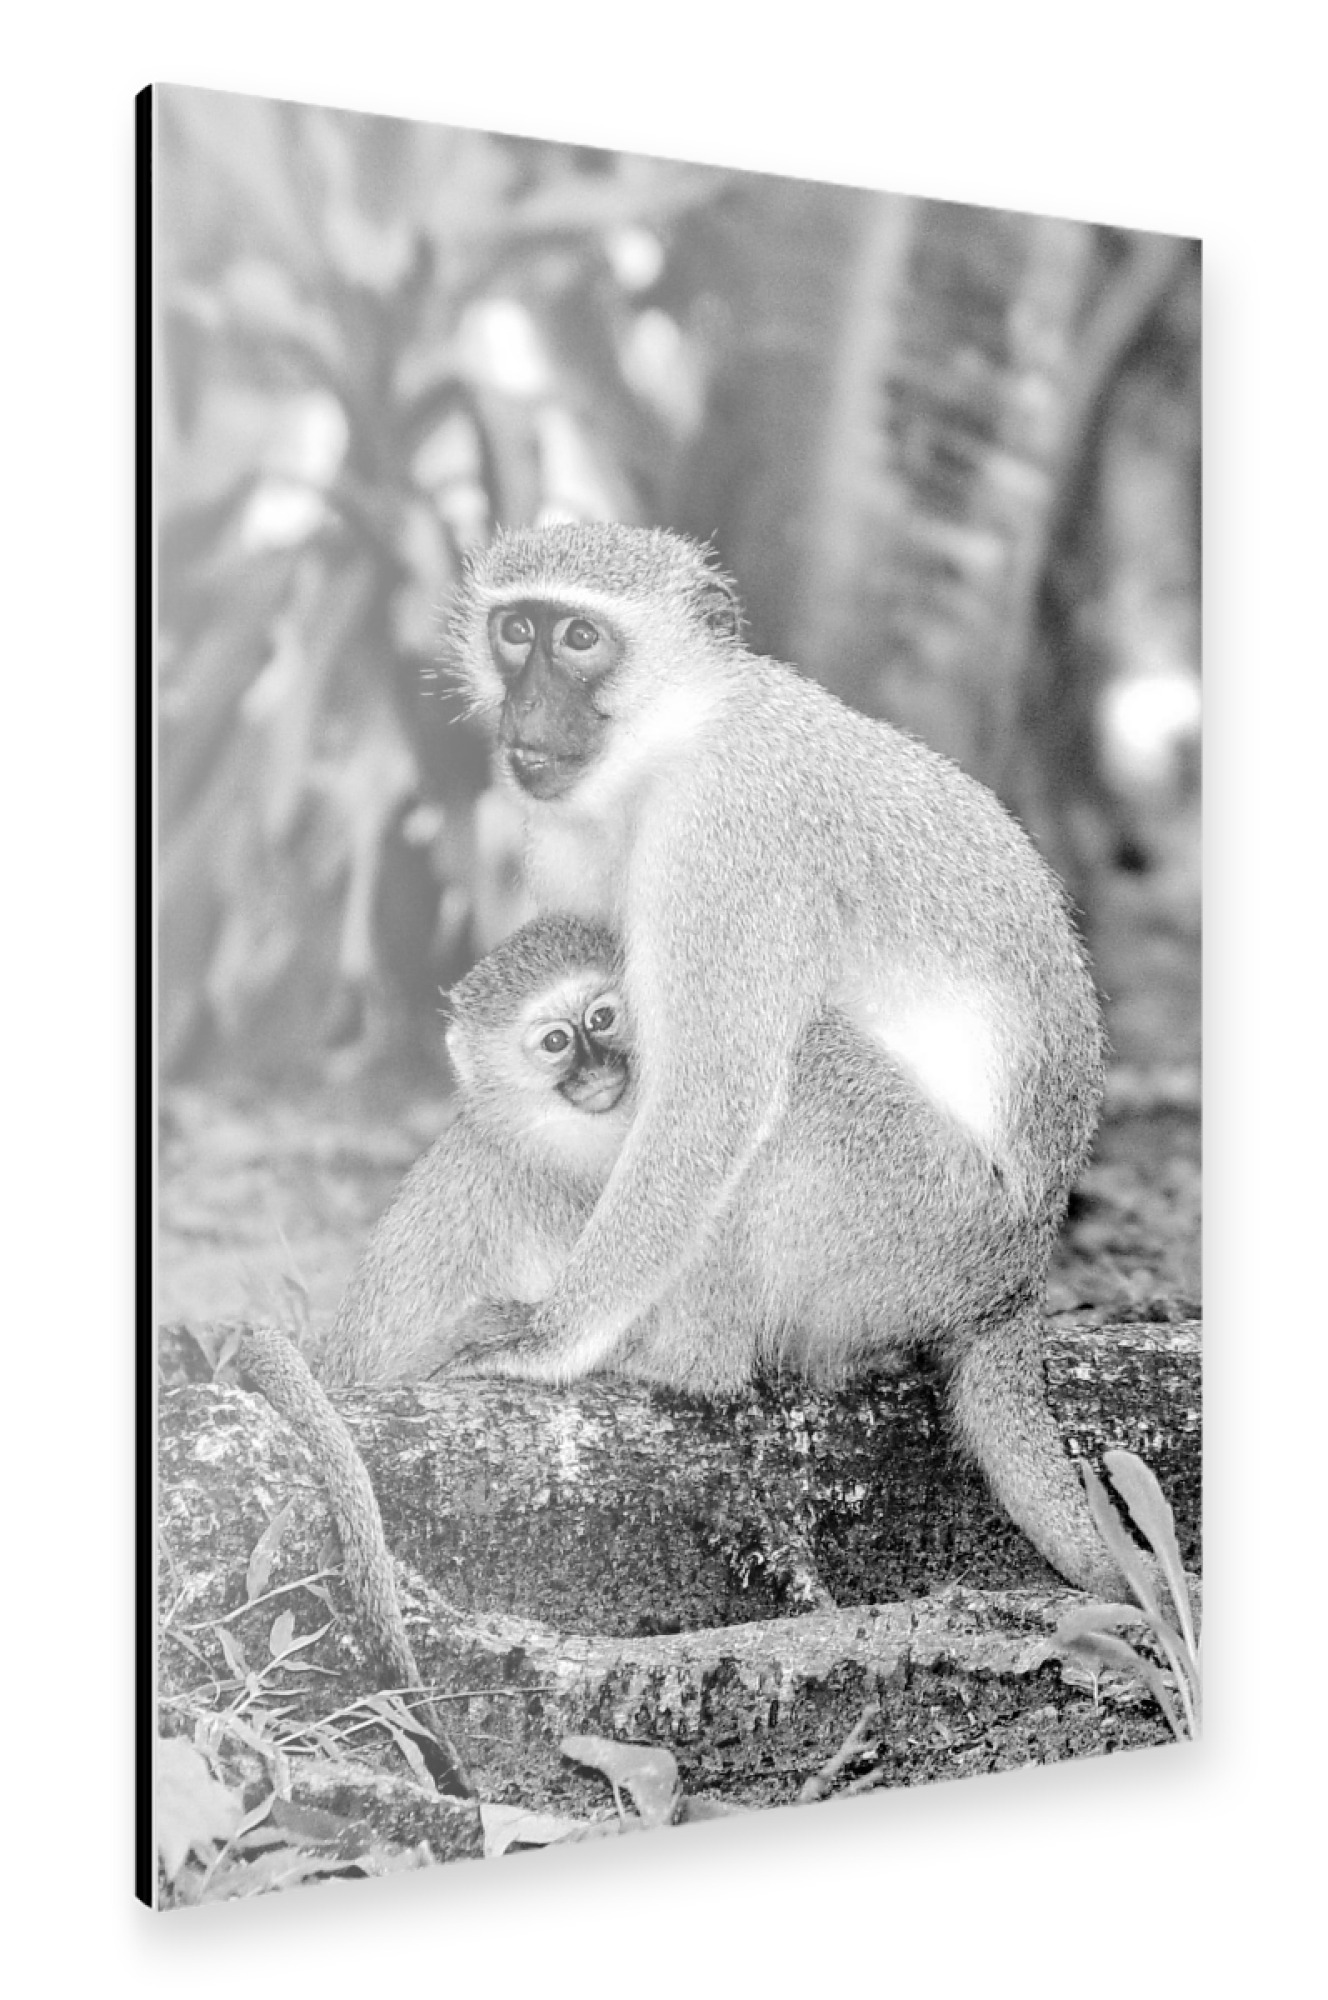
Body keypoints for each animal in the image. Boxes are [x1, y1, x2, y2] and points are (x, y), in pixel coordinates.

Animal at [439, 522, 1142, 1601]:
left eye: (581, 638)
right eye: (516, 630)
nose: (529, 704)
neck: (671, 740)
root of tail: (1019, 1281)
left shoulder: (727, 836)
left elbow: (709, 1099)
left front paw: (550, 1337)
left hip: (918, 1223)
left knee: (794, 1073)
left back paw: (686, 1364)